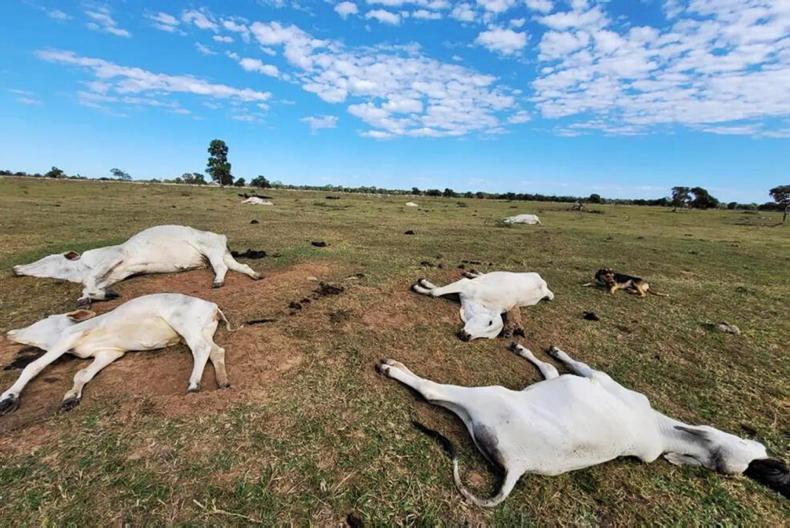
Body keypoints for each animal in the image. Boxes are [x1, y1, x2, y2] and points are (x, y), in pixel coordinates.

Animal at [1, 293, 232, 414]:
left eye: (45, 319)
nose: (10, 333)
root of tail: (213, 306)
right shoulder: (109, 353)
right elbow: (82, 374)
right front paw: (71, 397)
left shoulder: (70, 337)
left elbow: (33, 366)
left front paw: (8, 398)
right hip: (202, 331)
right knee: (216, 350)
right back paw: (222, 381)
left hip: (184, 324)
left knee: (201, 349)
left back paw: (194, 384)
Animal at [12, 225, 261, 305]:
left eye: (47, 260)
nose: (15, 268)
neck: (81, 266)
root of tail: (220, 236)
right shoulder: (116, 273)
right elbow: (92, 286)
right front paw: (94, 296)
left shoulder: (115, 257)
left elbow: (90, 281)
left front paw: (95, 295)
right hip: (220, 254)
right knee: (241, 266)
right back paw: (255, 275)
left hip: (211, 251)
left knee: (222, 268)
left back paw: (218, 281)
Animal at [378, 343, 788, 506]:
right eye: (752, 446)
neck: (660, 430)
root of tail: (519, 467)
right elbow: (549, 369)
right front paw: (528, 349)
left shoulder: (598, 378)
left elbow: (570, 365)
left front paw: (553, 350)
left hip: (486, 397)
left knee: (431, 392)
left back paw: (394, 368)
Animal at [412, 271, 554, 341]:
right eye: (490, 322)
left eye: (487, 337)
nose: (466, 337)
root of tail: (544, 287)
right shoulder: (465, 285)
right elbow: (436, 291)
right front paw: (420, 285)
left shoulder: (460, 293)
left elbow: (437, 290)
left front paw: (423, 285)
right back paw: (472, 273)